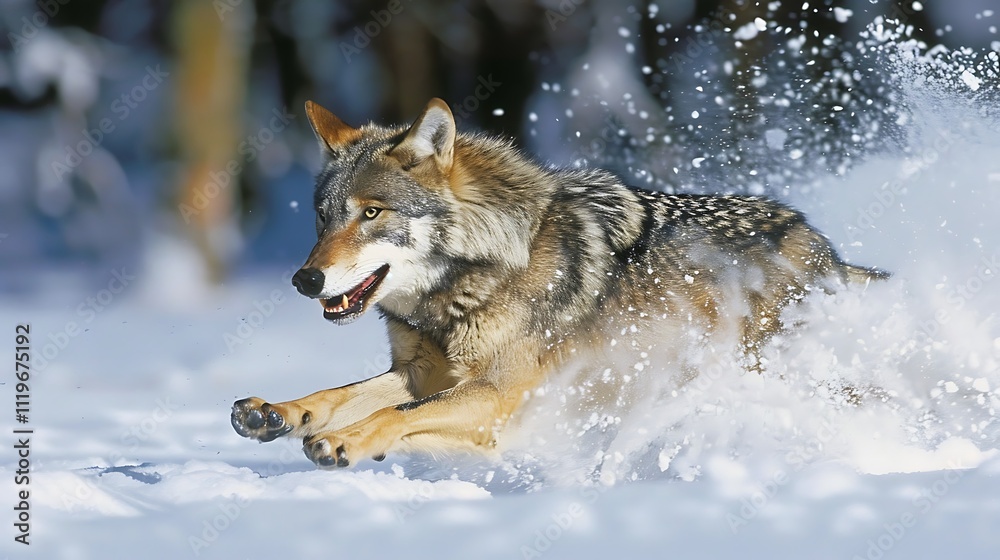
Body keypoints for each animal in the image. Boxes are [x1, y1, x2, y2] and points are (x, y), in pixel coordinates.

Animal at [231, 98, 887, 468]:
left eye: (372, 213)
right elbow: (339, 394)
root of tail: (822, 245)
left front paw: (342, 441)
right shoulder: (421, 372)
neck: (479, 278)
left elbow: (392, 414)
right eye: (323, 218)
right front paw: (276, 412)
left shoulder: (498, 397)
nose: (304, 278)